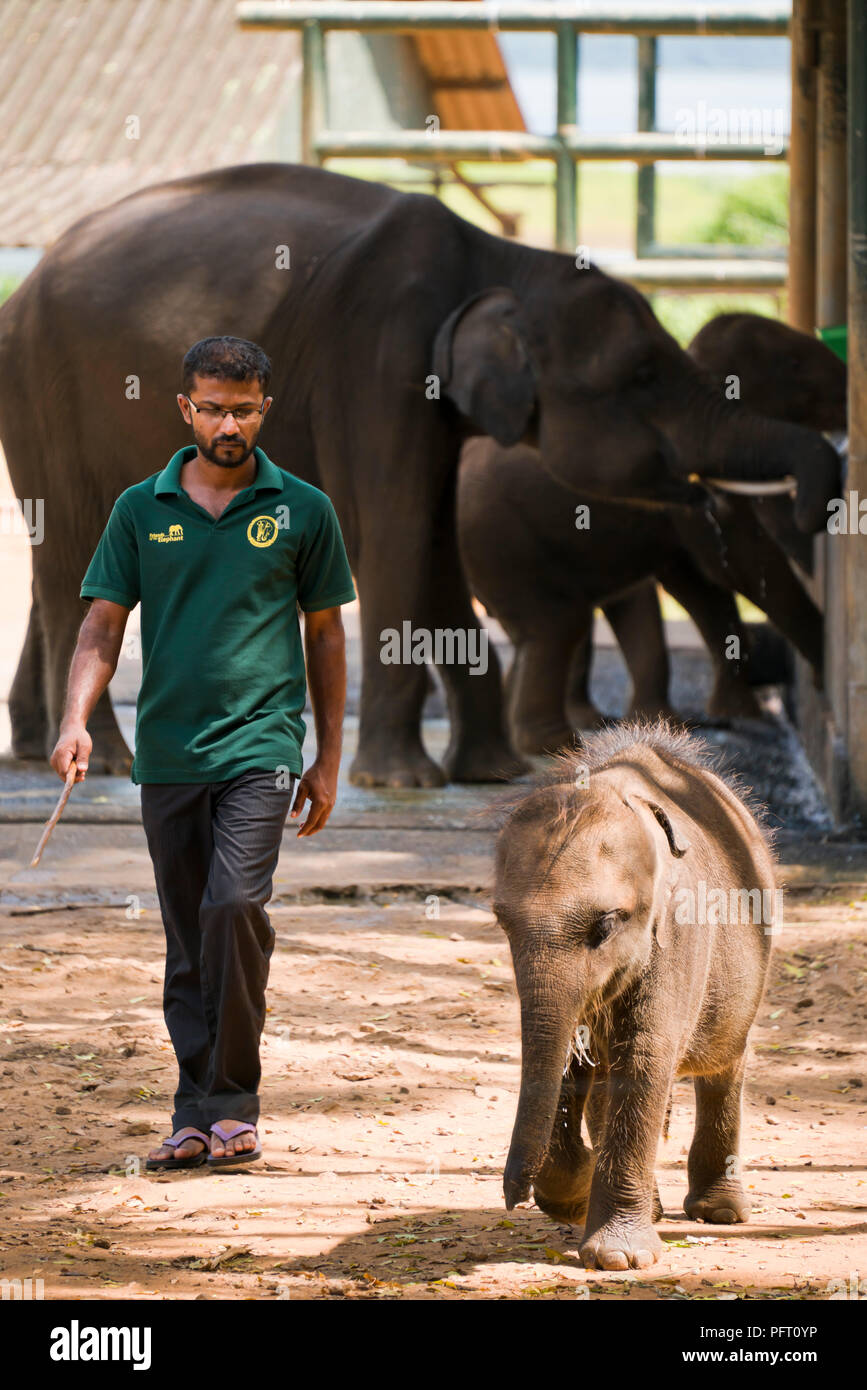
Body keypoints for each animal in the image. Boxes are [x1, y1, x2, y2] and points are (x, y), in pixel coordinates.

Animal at [0, 165, 839, 783]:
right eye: (640, 376)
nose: (817, 508)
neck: (497, 263)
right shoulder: (379, 357)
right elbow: (394, 531)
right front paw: (400, 781)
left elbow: (435, 539)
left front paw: (492, 774)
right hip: (43, 386)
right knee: (71, 550)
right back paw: (104, 762)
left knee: (77, 558)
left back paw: (44, 747)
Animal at [494, 728, 778, 1273]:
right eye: (501, 921)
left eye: (605, 925)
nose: (513, 1199)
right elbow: (574, 1060)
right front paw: (576, 1196)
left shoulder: (680, 933)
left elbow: (645, 1056)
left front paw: (618, 1259)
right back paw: (655, 1209)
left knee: (724, 1061)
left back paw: (719, 1212)